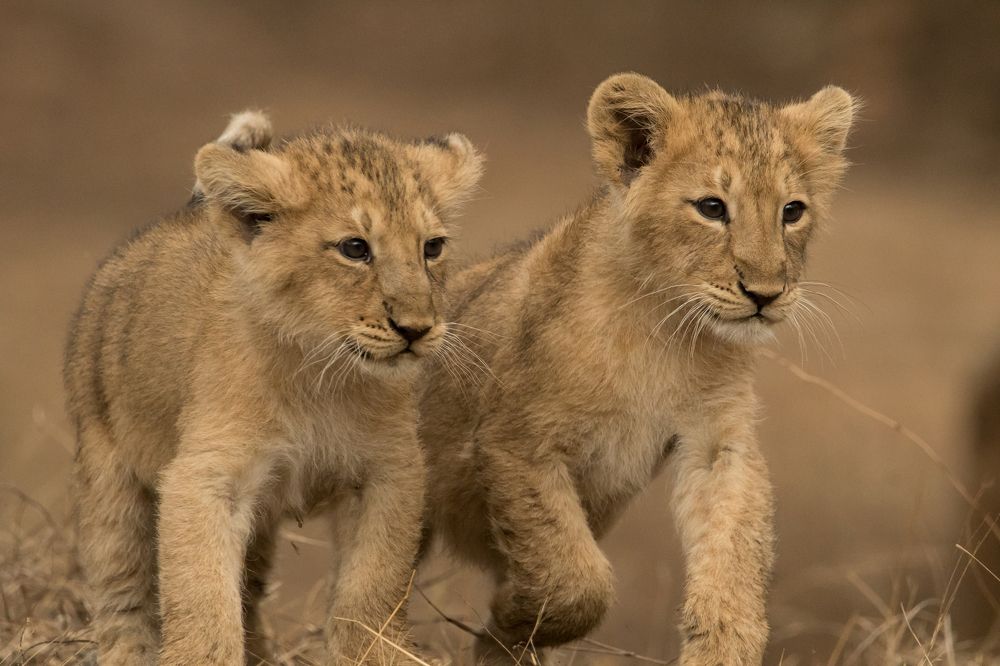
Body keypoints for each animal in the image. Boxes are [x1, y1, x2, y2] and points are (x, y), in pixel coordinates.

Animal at [64, 110, 483, 665]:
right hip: (109, 473)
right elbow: (201, 597)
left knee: (249, 591)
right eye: (355, 248)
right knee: (121, 591)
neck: (320, 373)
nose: (415, 329)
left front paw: (378, 652)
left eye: (432, 247)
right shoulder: (206, 475)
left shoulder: (390, 470)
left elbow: (372, 585)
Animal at [418, 73, 857, 664]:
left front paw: (725, 642)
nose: (765, 294)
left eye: (792, 211)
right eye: (711, 207)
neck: (665, 331)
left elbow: (735, 546)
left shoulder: (716, 439)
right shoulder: (516, 442)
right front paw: (510, 617)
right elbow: (573, 574)